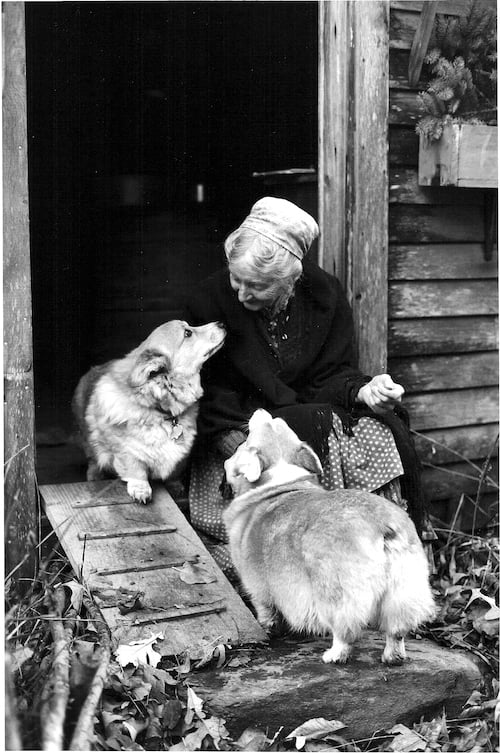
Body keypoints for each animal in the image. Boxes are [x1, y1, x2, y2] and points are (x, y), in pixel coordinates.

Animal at [72, 320, 225, 502]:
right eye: (187, 333)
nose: (221, 323)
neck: (159, 410)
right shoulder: (126, 451)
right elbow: (136, 469)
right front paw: (140, 489)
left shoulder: (181, 456)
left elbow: (174, 472)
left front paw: (175, 486)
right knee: (93, 460)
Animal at [225, 412, 436, 664]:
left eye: (249, 440)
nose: (260, 411)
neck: (280, 478)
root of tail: (382, 524)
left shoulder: (257, 587)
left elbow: (266, 611)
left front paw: (269, 628)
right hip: (403, 589)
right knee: (396, 629)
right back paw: (393, 656)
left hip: (335, 593)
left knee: (346, 629)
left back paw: (334, 655)